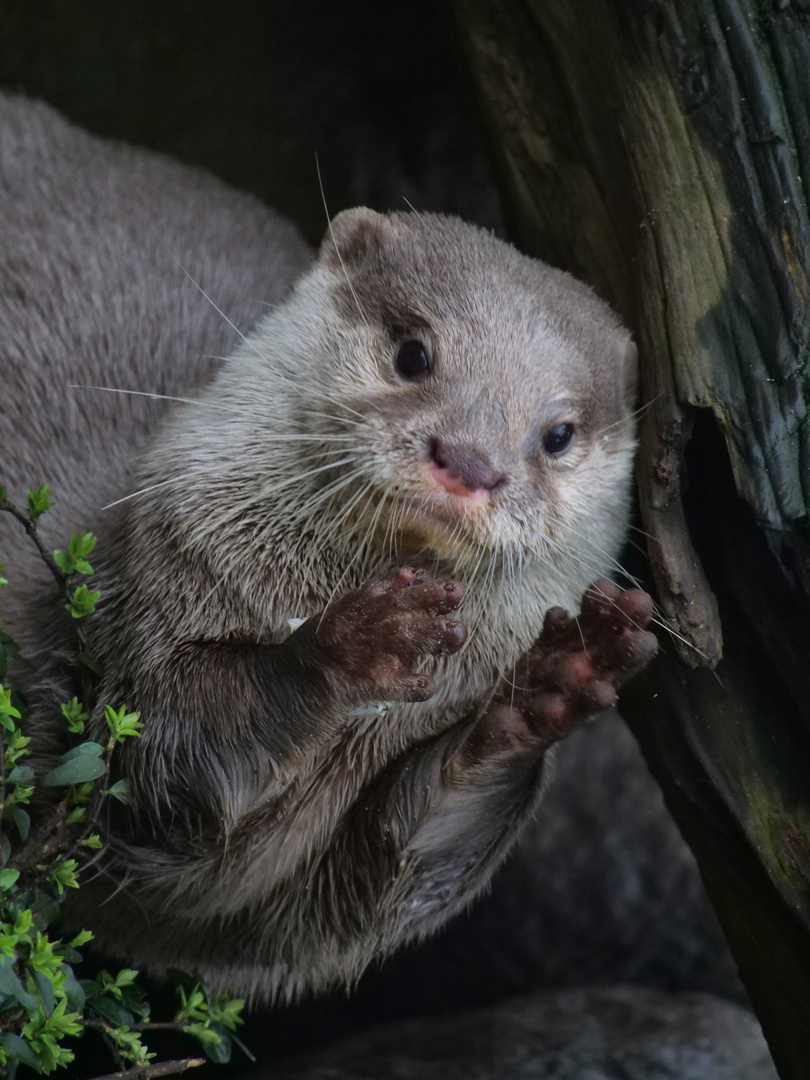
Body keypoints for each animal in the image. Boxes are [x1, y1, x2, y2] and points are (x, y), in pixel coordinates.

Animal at [0, 95, 656, 1002]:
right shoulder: (133, 617)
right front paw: (356, 642)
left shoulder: (320, 906)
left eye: (557, 435)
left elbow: (399, 855)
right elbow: (164, 741)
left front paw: (555, 683)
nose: (471, 461)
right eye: (414, 352)